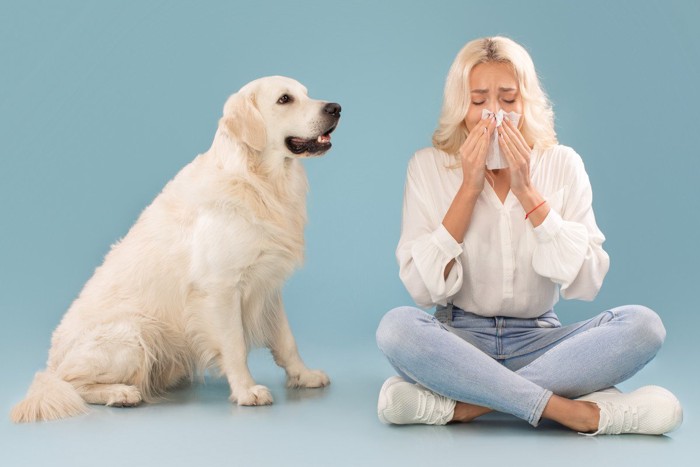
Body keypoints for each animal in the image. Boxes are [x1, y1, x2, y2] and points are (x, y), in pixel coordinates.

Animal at [10, 77, 340, 424]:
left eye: (307, 93)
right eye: (284, 99)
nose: (336, 108)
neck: (258, 181)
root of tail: (51, 363)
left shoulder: (268, 284)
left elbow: (287, 340)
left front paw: (304, 375)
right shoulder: (221, 288)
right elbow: (235, 345)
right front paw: (247, 391)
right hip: (134, 334)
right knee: (71, 384)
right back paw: (120, 393)